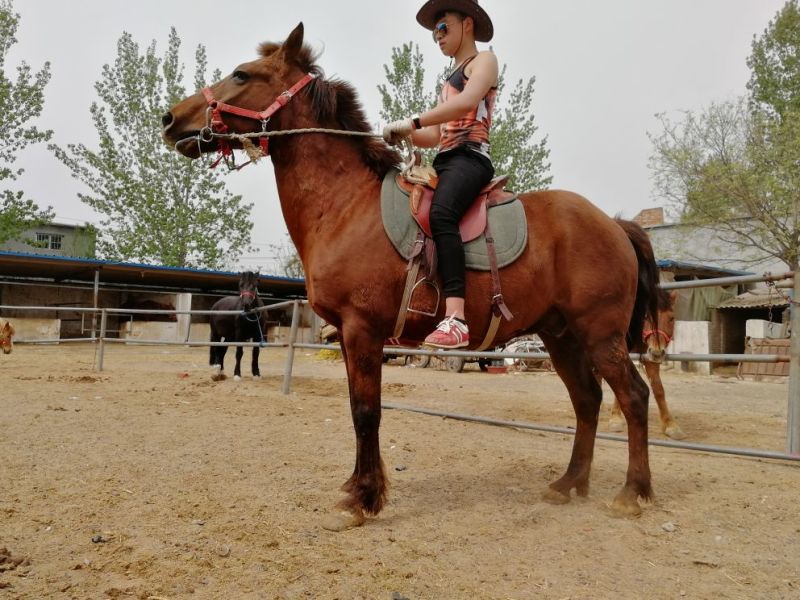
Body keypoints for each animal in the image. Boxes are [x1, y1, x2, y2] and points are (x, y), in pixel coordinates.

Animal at [162, 23, 661, 529]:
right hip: (561, 336)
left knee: (634, 397)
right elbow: (357, 408)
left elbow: (366, 412)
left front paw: (364, 499)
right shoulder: (348, 337)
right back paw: (569, 483)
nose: (171, 119)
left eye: (242, 75)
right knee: (587, 400)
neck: (346, 206)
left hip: (600, 334)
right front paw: (359, 488)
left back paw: (632, 492)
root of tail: (613, 224)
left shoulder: (363, 330)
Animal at [609, 289, 686, 439]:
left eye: (671, 318)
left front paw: (670, 425)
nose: (657, 353)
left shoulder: (649, 356)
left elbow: (658, 389)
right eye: (646, 317)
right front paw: (615, 418)